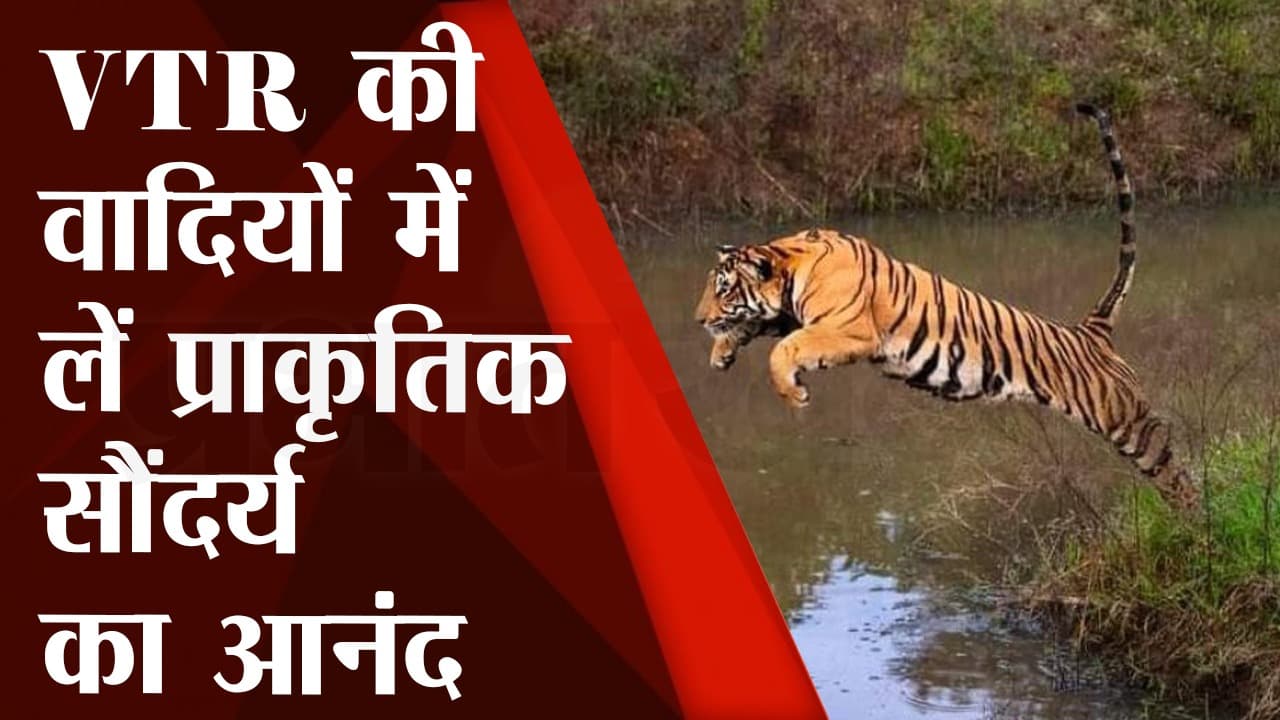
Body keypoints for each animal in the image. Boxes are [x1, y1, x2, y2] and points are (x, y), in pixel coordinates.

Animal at [694, 104, 1201, 511]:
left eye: (723, 289)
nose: (698, 319)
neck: (792, 261)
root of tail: (1091, 330)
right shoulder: (789, 315)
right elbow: (760, 329)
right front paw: (722, 353)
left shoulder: (847, 330)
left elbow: (784, 350)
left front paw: (793, 394)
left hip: (1126, 421)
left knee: (1172, 467)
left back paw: (1195, 517)